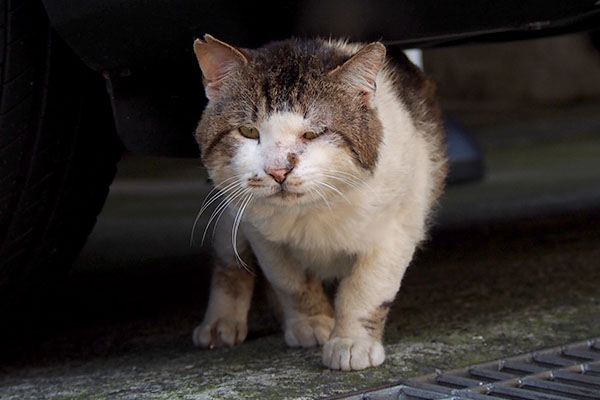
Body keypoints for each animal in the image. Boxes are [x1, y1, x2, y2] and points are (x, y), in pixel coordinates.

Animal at [191, 34, 446, 372]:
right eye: (248, 131)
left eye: (313, 133)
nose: (278, 170)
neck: (312, 210)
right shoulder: (261, 233)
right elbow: (291, 282)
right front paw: (310, 323)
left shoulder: (399, 227)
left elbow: (366, 288)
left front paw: (351, 343)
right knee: (229, 260)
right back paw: (221, 323)